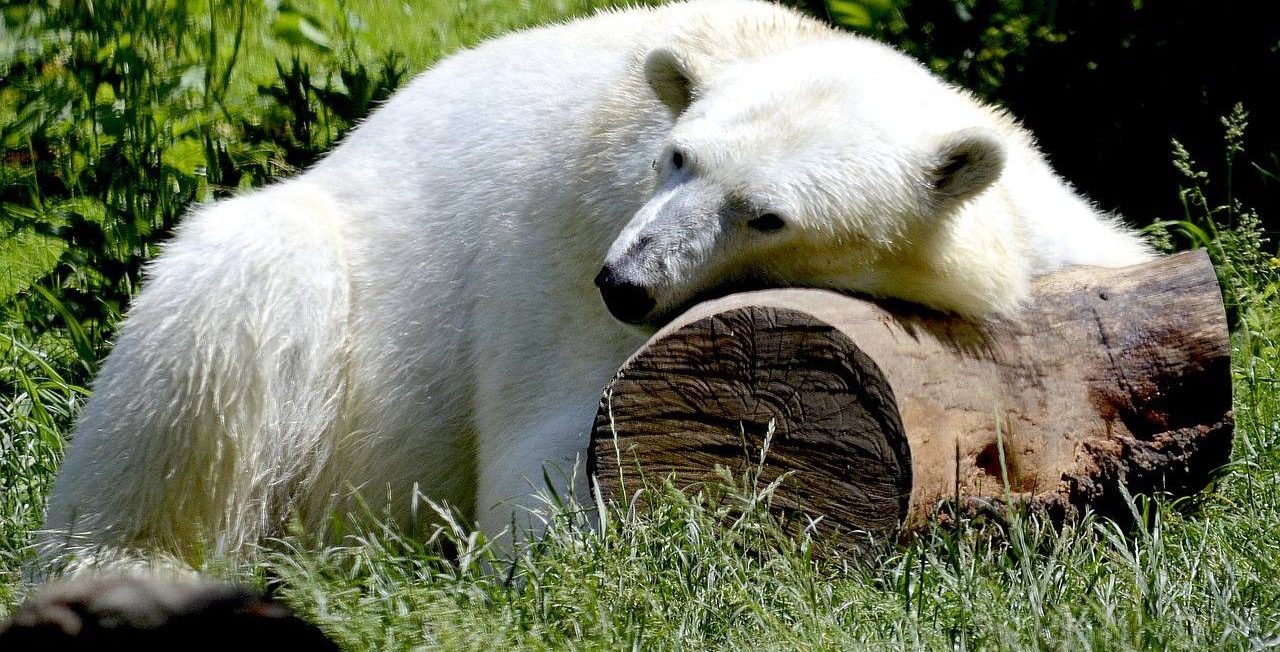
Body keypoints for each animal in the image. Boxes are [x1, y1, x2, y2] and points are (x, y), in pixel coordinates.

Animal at [40, 0, 1152, 558]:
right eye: (678, 158)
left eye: (768, 214)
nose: (624, 282)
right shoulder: (566, 240)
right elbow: (550, 459)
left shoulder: (1051, 229)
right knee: (237, 303)